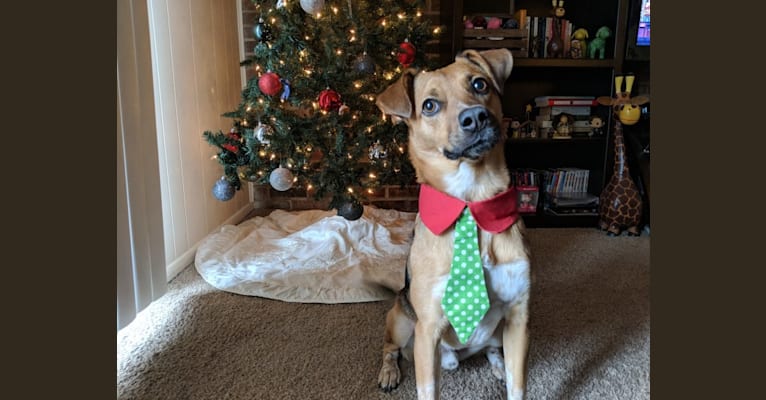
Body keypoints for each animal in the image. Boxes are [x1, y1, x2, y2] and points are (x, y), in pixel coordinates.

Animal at [376, 48, 532, 398]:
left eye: (479, 84)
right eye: (429, 105)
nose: (476, 117)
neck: (471, 200)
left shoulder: (518, 317)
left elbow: (517, 386)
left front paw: (507, 375)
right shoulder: (428, 329)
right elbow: (427, 389)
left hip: (497, 330)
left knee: (492, 349)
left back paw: (497, 364)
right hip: (401, 320)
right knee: (390, 349)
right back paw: (389, 372)